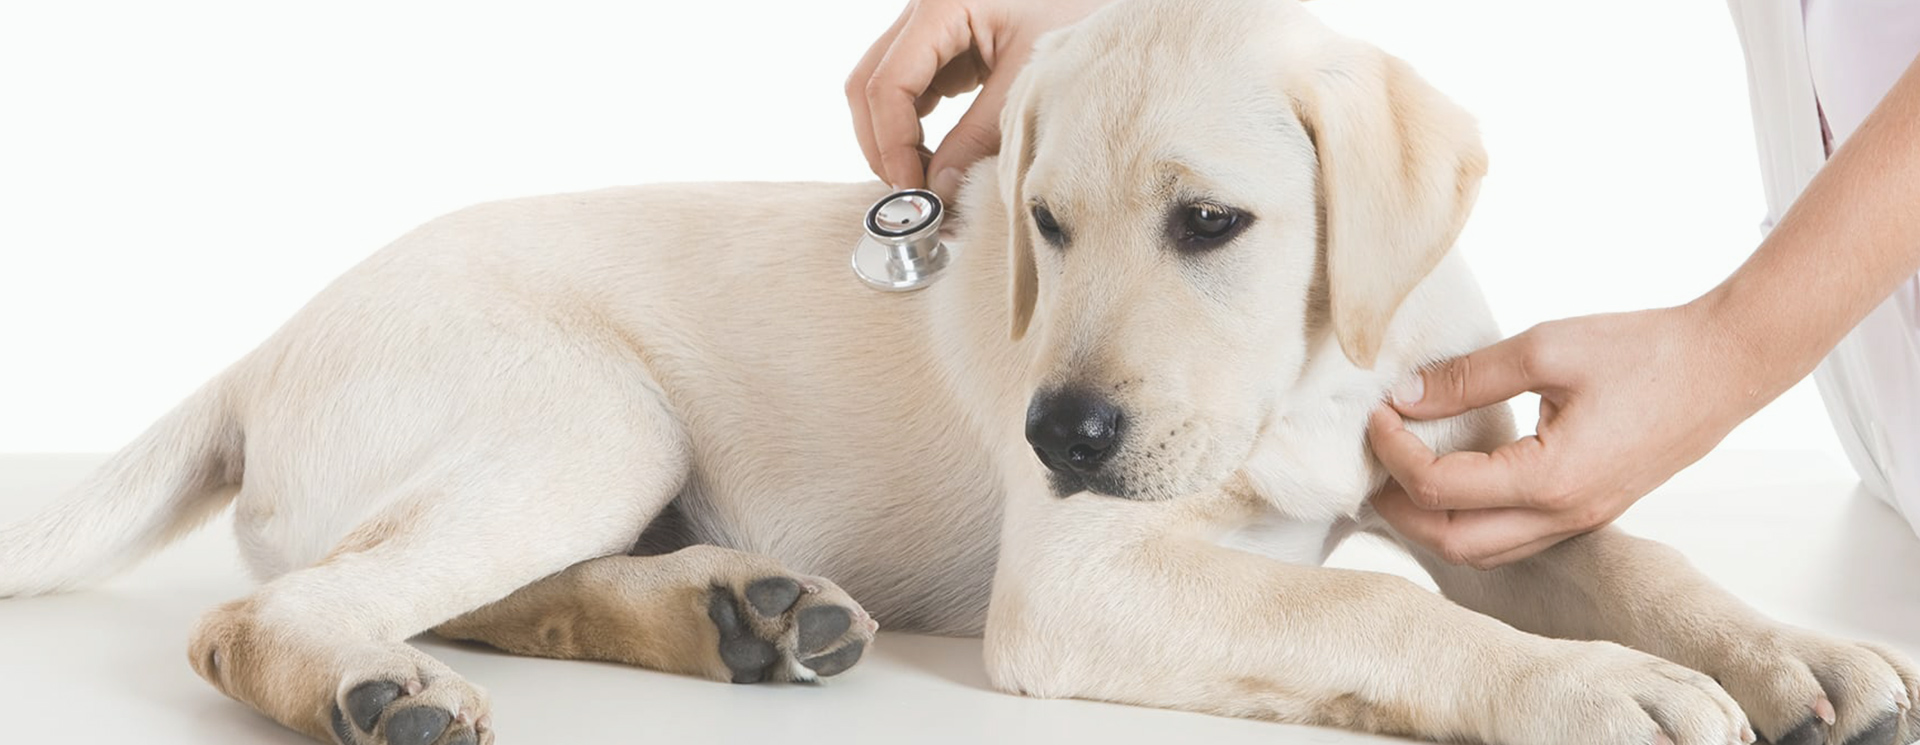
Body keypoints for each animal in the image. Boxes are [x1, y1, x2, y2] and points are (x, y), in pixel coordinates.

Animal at [3, 1, 1920, 745]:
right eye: (1045, 226)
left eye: (1213, 224)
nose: (1058, 430)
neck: (1294, 381)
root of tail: (262, 341)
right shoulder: (1082, 578)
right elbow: (1363, 607)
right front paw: (1593, 688)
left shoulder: (1477, 480)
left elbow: (1640, 553)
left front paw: (1801, 653)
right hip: (588, 411)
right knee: (273, 611)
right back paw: (375, 685)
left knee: (467, 582)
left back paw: (739, 613)